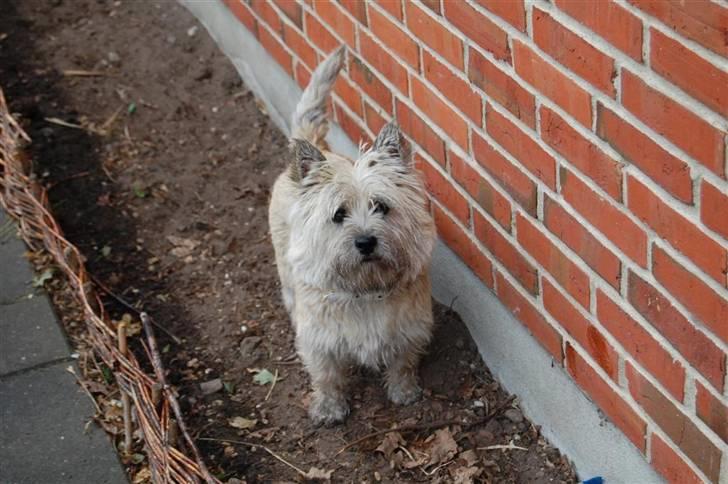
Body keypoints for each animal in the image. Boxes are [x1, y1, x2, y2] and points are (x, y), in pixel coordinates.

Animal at [268, 45, 436, 424]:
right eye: (338, 214)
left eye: (381, 206)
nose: (365, 241)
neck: (366, 289)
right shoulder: (319, 341)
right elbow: (326, 375)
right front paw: (329, 407)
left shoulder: (410, 328)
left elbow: (403, 363)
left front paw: (404, 392)